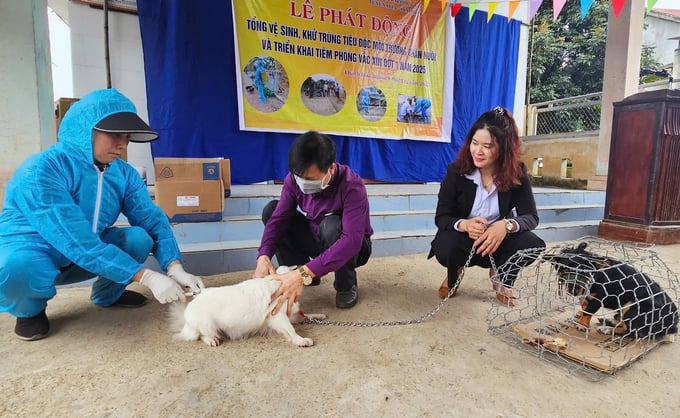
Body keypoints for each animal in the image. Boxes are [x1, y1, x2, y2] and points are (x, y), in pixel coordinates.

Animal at [167, 266, 326, 348]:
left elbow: (305, 315)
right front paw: (301, 340)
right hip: (208, 325)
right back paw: (212, 340)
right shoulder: (278, 316)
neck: (279, 282)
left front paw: (318, 316)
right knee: (200, 335)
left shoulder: (288, 315)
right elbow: (291, 330)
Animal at [548, 242, 676, 340]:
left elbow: (588, 312)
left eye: (586, 272)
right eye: (565, 270)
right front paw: (580, 315)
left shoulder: (597, 299)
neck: (596, 275)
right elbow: (584, 306)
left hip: (632, 306)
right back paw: (609, 321)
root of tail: (674, 324)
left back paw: (607, 329)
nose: (573, 292)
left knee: (633, 332)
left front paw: (582, 325)